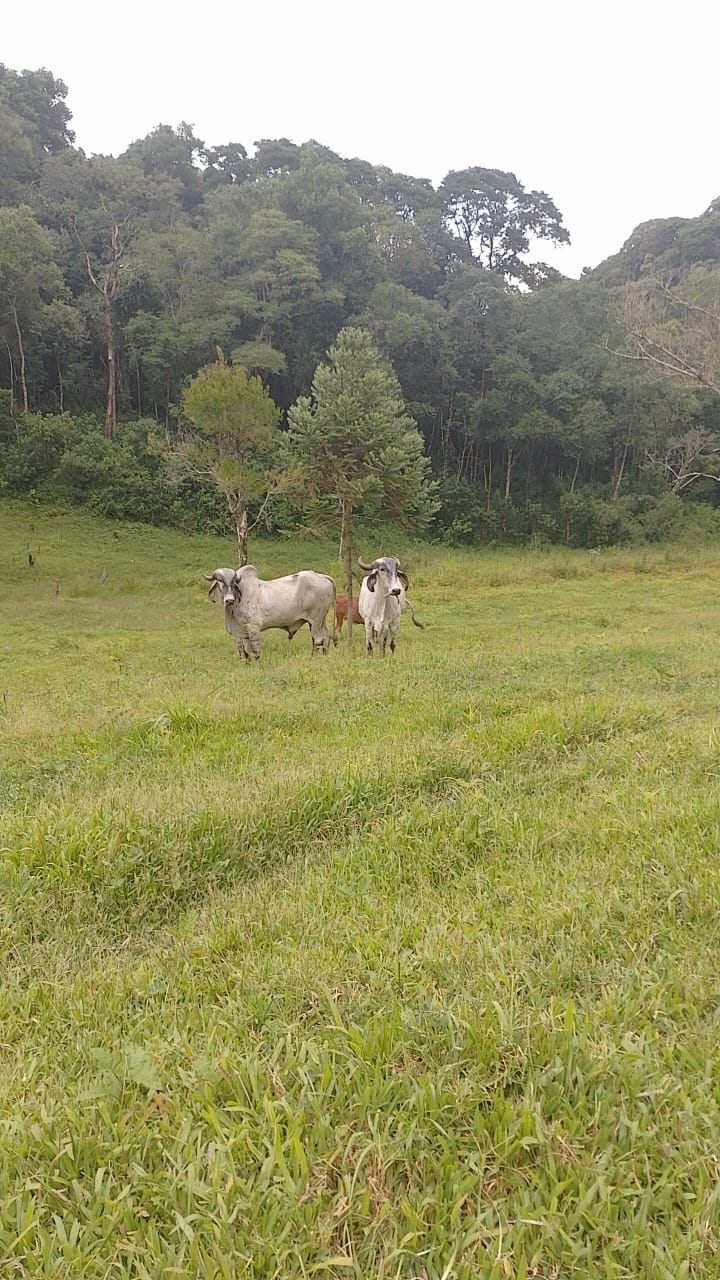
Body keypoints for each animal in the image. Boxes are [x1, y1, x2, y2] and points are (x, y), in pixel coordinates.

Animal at [203, 565, 335, 660]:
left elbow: (255, 650)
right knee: (325, 638)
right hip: (321, 621)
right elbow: (245, 651)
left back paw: (313, 658)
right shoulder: (242, 632)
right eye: (219, 580)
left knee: (317, 640)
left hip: (315, 620)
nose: (229, 600)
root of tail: (322, 576)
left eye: (233, 581)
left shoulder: (253, 628)